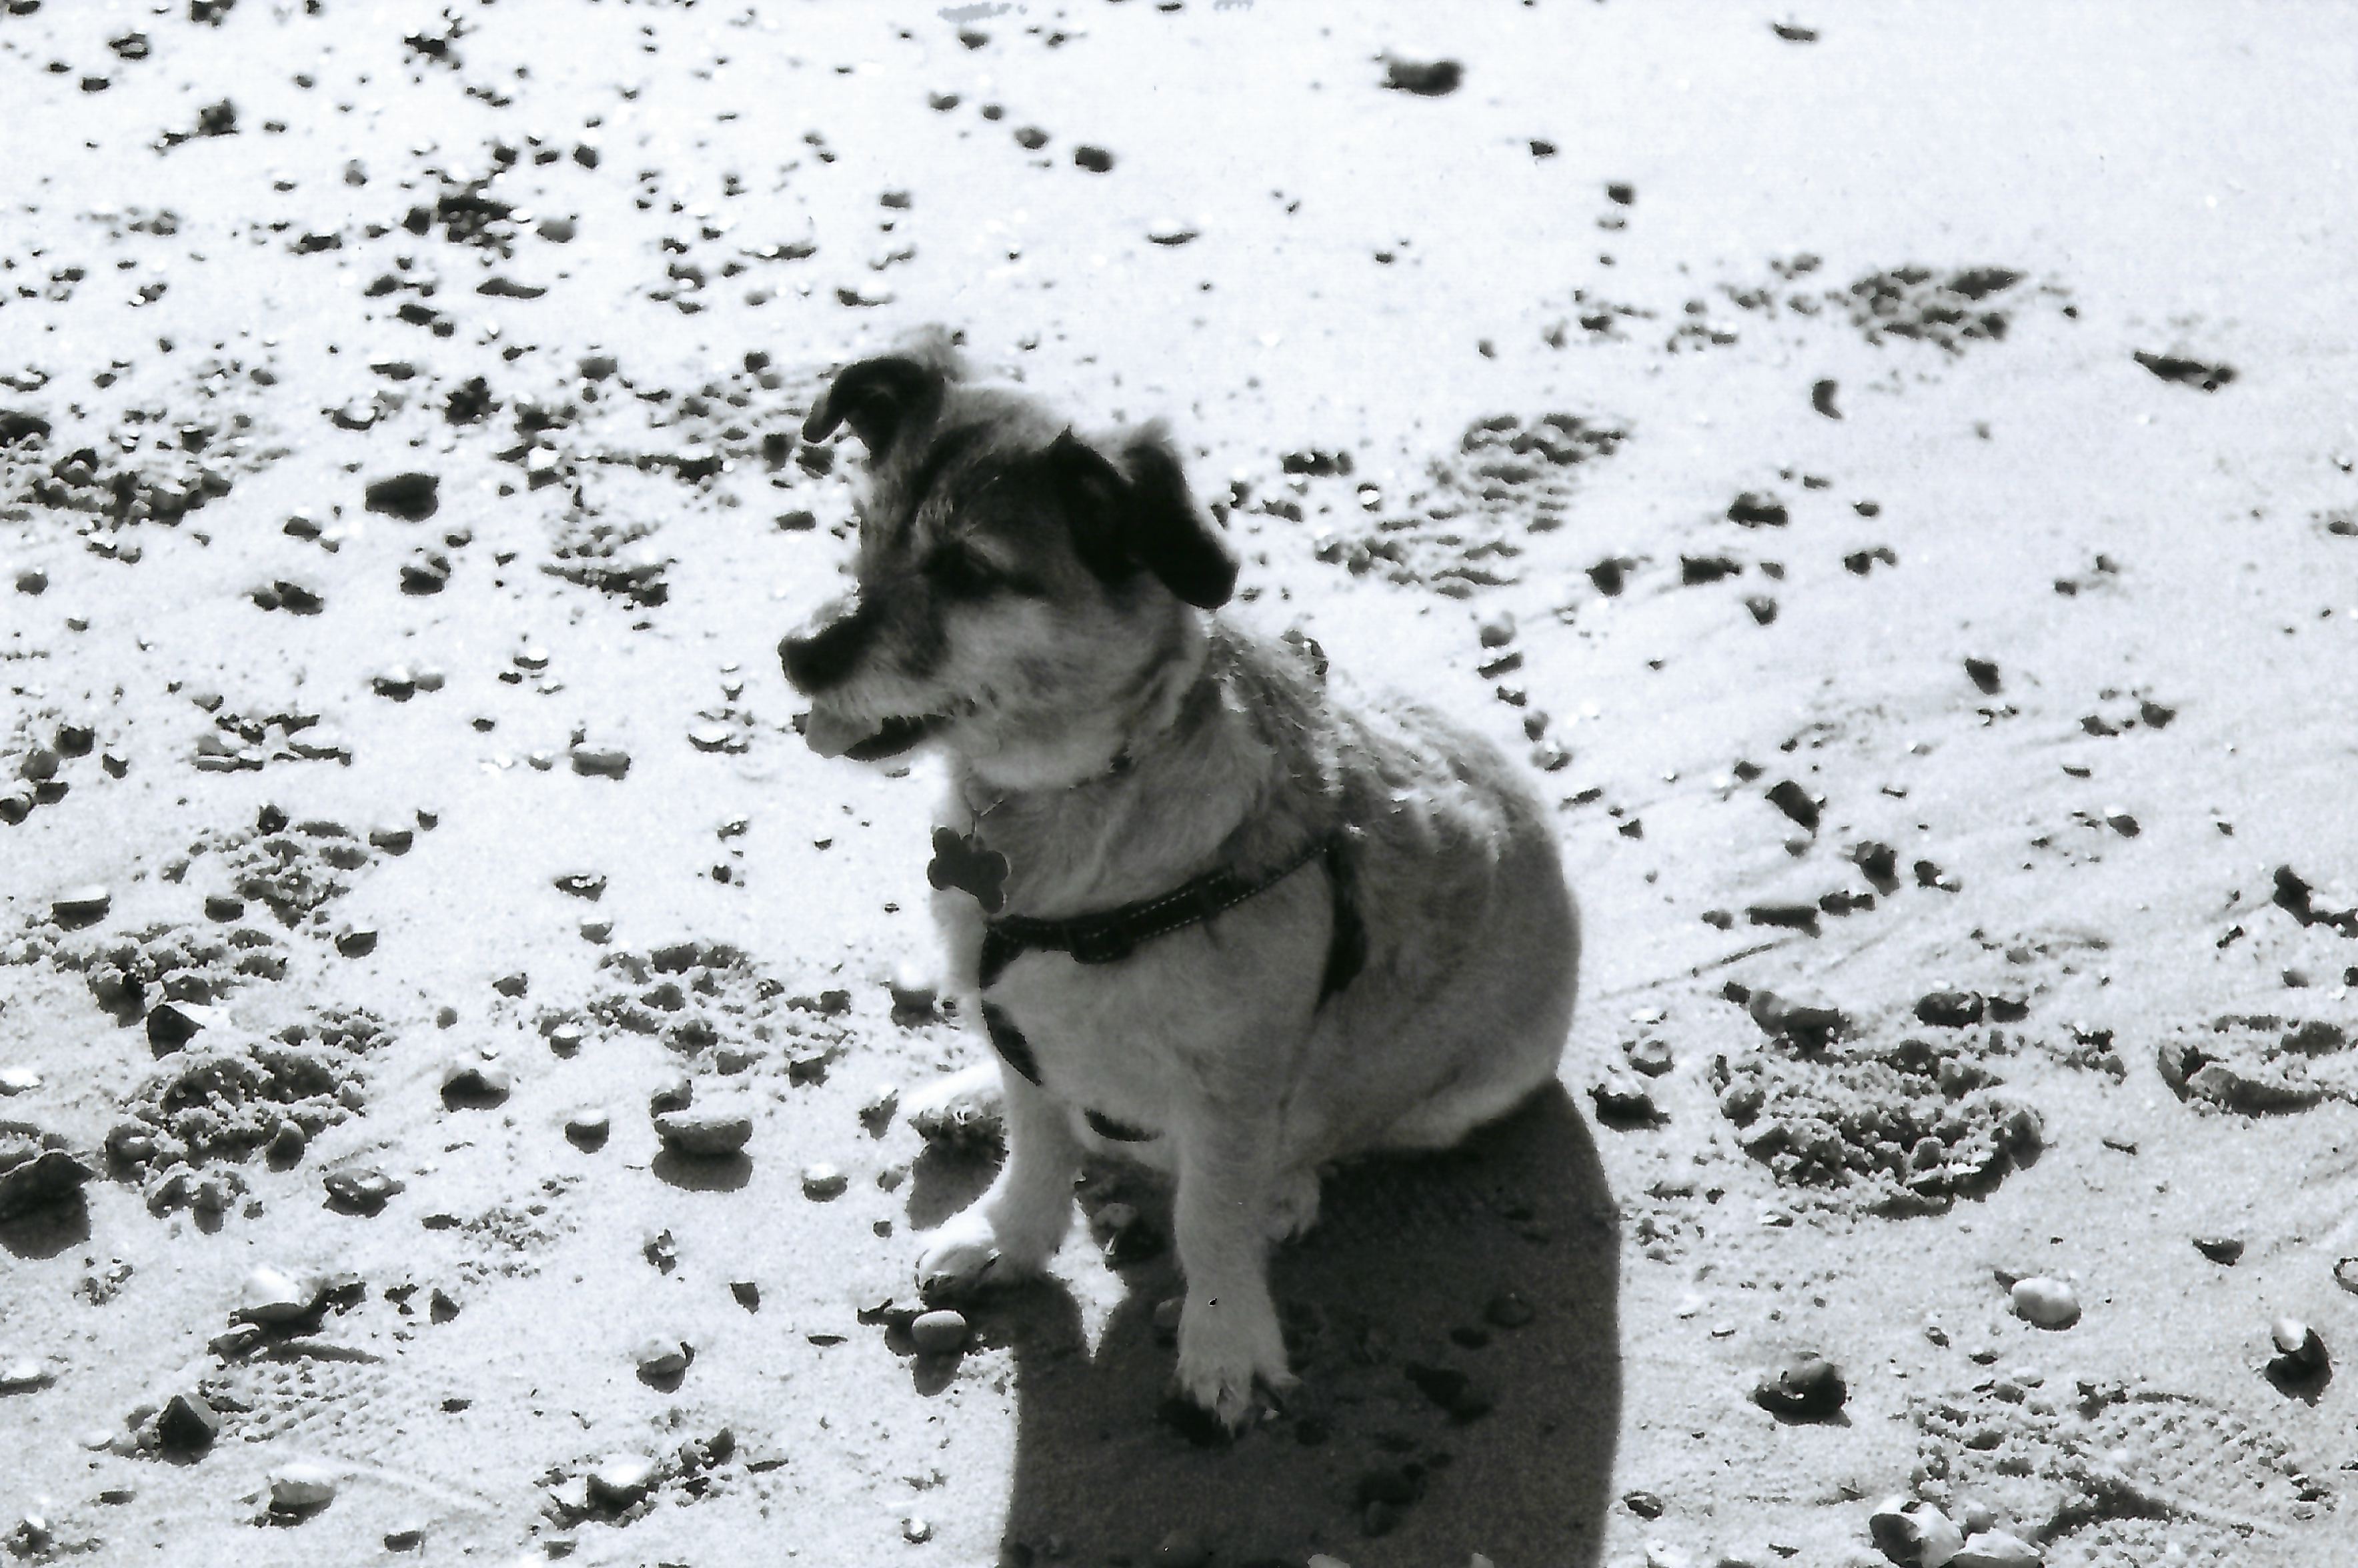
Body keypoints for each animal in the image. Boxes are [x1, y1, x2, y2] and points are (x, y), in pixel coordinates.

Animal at [782, 332, 1575, 1433]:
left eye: (970, 571)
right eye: (863, 531)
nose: (799, 654)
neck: (1068, 799)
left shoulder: (1231, 1084)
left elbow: (1209, 1216)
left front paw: (1225, 1339)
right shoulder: (1019, 1021)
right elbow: (1038, 1141)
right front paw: (1008, 1234)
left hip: (1458, 1093)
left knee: (1341, 1138)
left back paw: (1288, 1188)